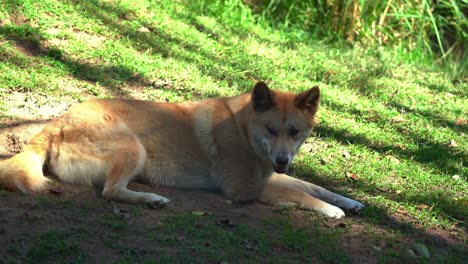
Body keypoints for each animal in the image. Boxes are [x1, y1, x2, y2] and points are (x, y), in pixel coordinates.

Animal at [0, 82, 364, 219]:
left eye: (295, 132)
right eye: (271, 130)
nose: (282, 159)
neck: (244, 128)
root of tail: (56, 122)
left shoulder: (271, 175)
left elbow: (312, 185)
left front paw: (350, 201)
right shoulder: (246, 188)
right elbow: (301, 193)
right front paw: (332, 210)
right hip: (134, 148)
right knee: (110, 191)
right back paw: (151, 199)